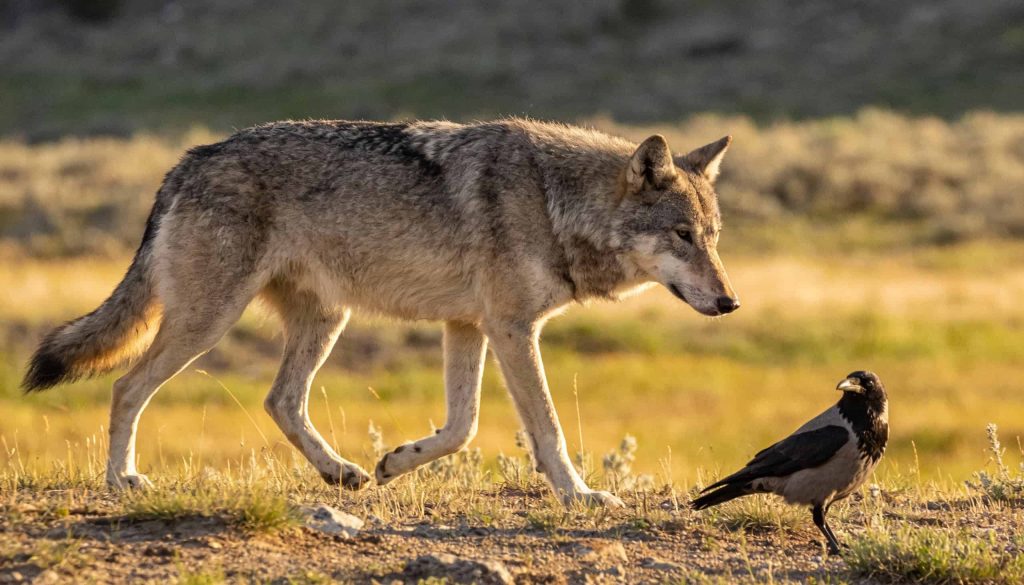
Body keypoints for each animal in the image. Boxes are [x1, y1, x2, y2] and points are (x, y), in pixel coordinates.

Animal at [23, 118, 739, 507]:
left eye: (713, 237)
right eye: (682, 236)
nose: (730, 301)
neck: (554, 200)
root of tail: (188, 159)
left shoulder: (469, 326)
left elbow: (462, 428)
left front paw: (395, 462)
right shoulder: (511, 328)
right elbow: (548, 430)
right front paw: (580, 495)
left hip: (324, 322)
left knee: (280, 400)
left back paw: (340, 472)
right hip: (210, 321)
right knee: (126, 387)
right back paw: (122, 481)